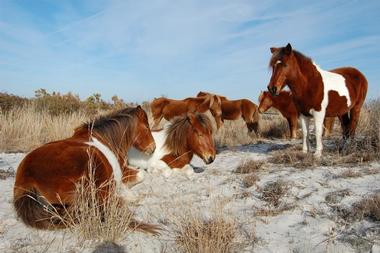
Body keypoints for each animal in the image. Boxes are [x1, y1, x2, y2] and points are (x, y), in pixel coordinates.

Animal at [13, 105, 157, 232]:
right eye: (146, 127)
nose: (153, 148)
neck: (105, 139)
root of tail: (26, 180)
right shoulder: (120, 171)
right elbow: (141, 174)